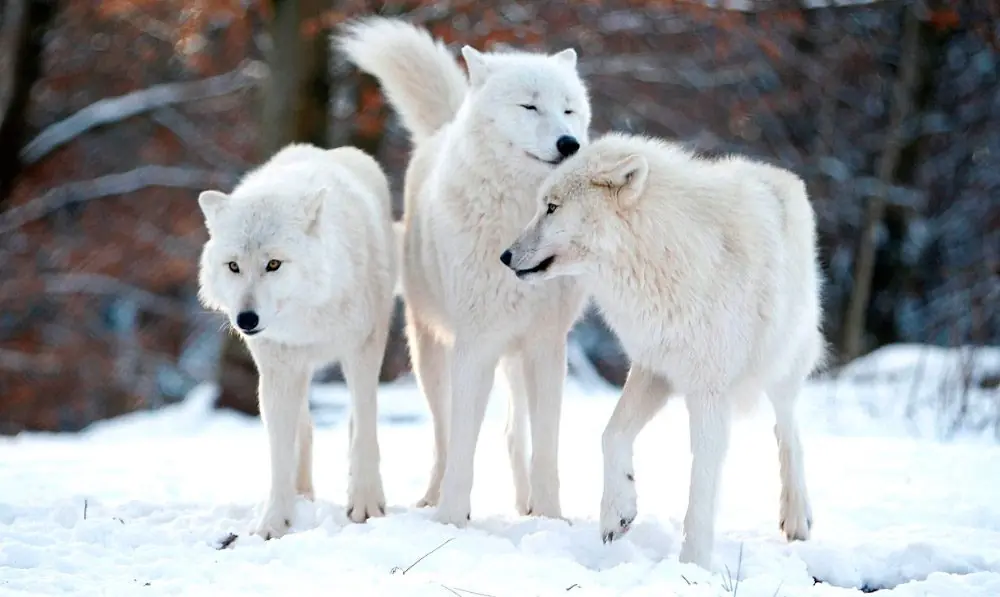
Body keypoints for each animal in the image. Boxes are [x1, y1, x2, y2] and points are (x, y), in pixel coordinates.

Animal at [197, 142, 397, 539]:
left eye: (273, 264)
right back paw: (302, 494)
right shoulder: (277, 370)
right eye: (234, 266)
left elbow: (365, 430)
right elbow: (279, 452)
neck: (308, 318)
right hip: (297, 373)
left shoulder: (363, 350)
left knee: (354, 423)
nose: (246, 320)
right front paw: (275, 522)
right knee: (305, 428)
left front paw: (366, 504)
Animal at [336, 17, 592, 525]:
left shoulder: (546, 346)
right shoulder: (476, 344)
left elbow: (546, 449)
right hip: (431, 352)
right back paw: (433, 498)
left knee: (514, 433)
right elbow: (462, 444)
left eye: (569, 110)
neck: (518, 222)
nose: (569, 144)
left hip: (514, 358)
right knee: (443, 432)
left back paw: (526, 505)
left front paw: (551, 520)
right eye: (530, 105)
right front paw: (452, 520)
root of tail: (444, 127)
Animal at [501, 132, 825, 569]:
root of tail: (780, 175)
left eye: (551, 208)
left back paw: (796, 516)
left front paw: (694, 564)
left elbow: (701, 485)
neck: (659, 254)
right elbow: (611, 434)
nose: (505, 256)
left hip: (782, 363)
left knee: (788, 430)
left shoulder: (708, 391)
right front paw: (617, 512)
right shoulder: (654, 368)